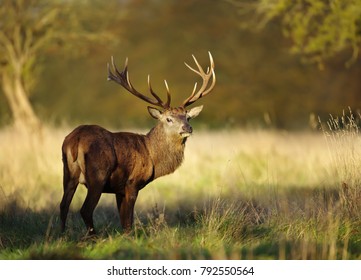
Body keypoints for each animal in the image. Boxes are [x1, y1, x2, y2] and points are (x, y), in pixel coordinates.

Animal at [60, 52, 215, 234]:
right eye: (168, 119)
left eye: (188, 117)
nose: (188, 128)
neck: (151, 155)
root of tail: (75, 139)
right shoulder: (132, 182)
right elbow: (128, 220)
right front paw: (129, 237)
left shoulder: (118, 189)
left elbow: (122, 219)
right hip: (98, 174)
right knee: (85, 209)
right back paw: (92, 236)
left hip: (68, 172)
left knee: (63, 205)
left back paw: (61, 235)